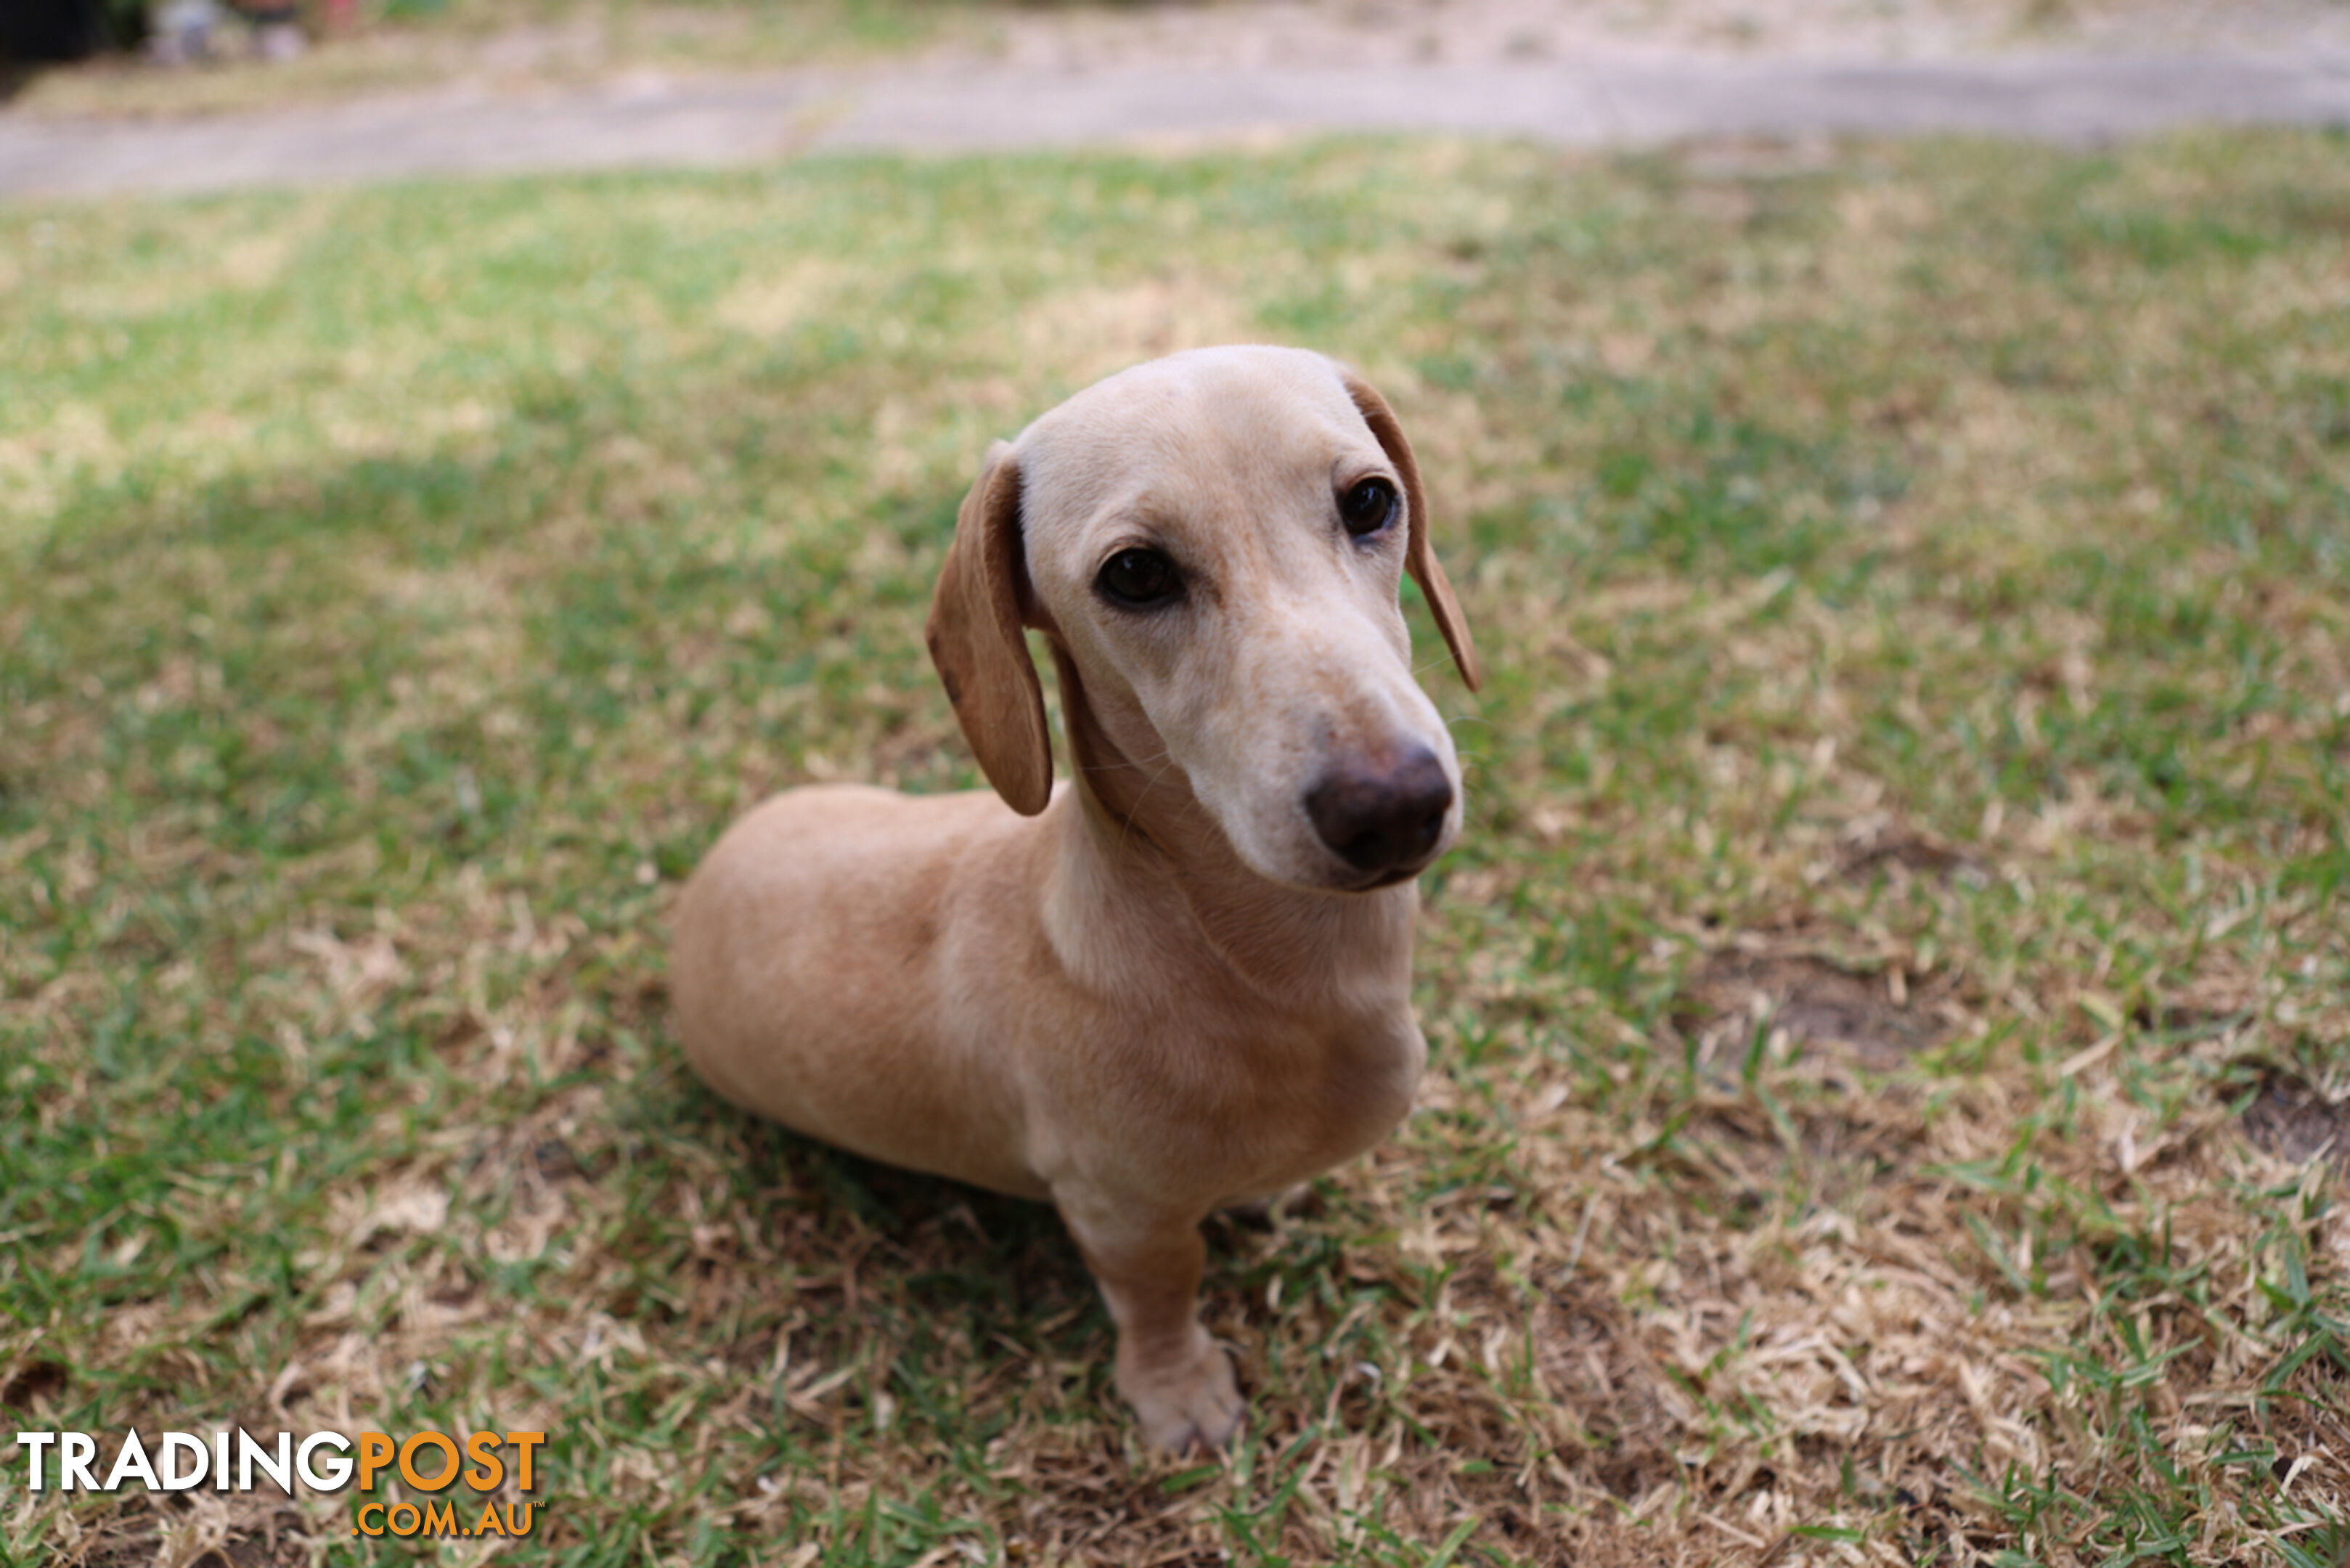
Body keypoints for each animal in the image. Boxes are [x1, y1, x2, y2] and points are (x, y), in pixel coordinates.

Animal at [672, 350, 1475, 1457]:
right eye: (1134, 574)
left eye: (1369, 502)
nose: (1394, 807)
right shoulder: (1117, 1209)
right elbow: (1161, 1288)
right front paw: (1178, 1391)